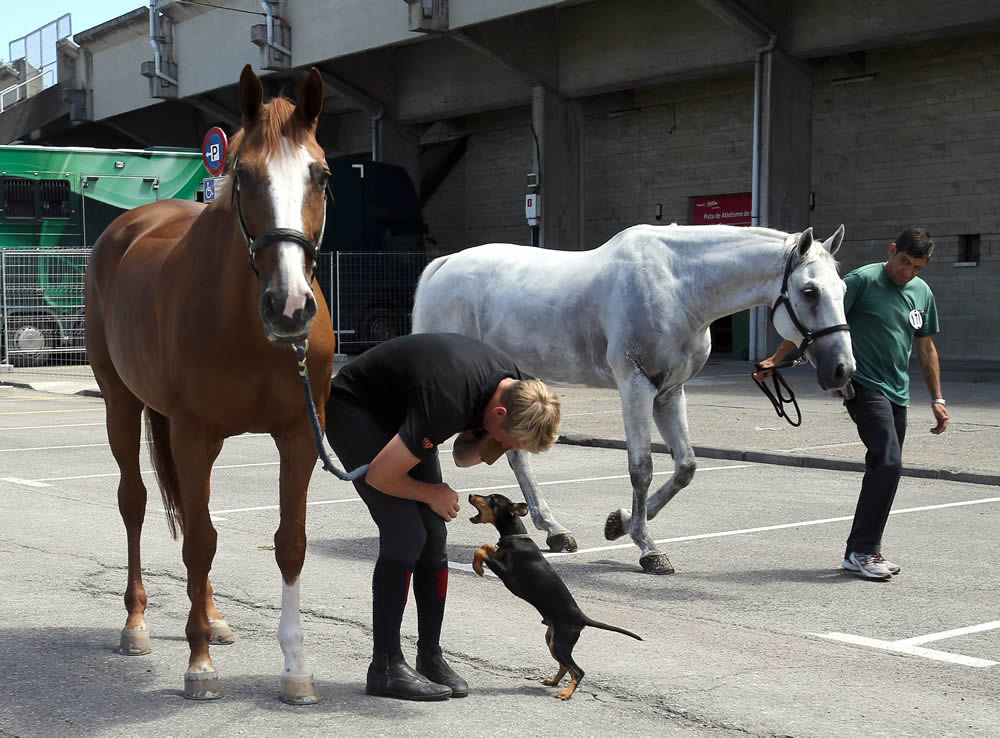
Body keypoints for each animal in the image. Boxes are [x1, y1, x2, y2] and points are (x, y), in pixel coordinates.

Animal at [86, 64, 336, 700]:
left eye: (321, 175)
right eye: (242, 175)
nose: (289, 306)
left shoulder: (299, 434)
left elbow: (289, 542)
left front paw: (296, 670)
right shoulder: (192, 432)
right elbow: (198, 540)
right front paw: (198, 665)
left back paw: (216, 617)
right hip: (121, 405)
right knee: (136, 504)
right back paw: (137, 625)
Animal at [410, 221, 856, 572]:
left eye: (843, 287)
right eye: (810, 291)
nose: (843, 370)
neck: (678, 286)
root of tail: (443, 266)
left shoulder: (670, 392)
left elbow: (685, 466)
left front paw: (619, 522)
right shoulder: (636, 386)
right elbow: (641, 468)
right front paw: (647, 547)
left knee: (517, 455)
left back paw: (555, 531)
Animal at [468, 492, 640, 700]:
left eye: (492, 498)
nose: (470, 495)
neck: (516, 538)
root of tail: (582, 618)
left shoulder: (508, 575)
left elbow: (482, 550)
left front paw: (478, 568)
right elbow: (486, 547)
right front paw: (478, 564)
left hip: (561, 643)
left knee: (578, 671)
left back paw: (566, 693)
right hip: (552, 641)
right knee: (566, 667)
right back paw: (554, 682)